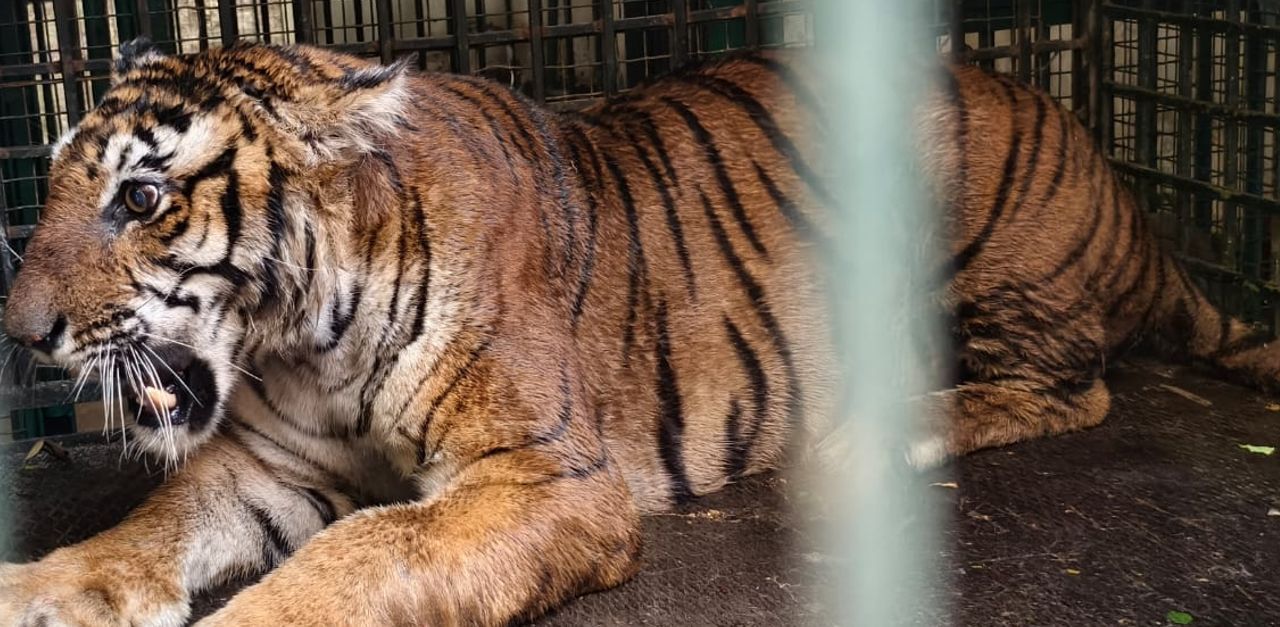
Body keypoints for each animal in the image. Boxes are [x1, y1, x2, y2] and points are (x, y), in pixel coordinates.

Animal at [1, 34, 1277, 626]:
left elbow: (362, 550)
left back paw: (871, 438)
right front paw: (41, 587)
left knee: (1076, 385)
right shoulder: (263, 464)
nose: (21, 333)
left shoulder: (544, 480)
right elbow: (149, 527)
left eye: (141, 198)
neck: (301, 337)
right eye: (57, 186)